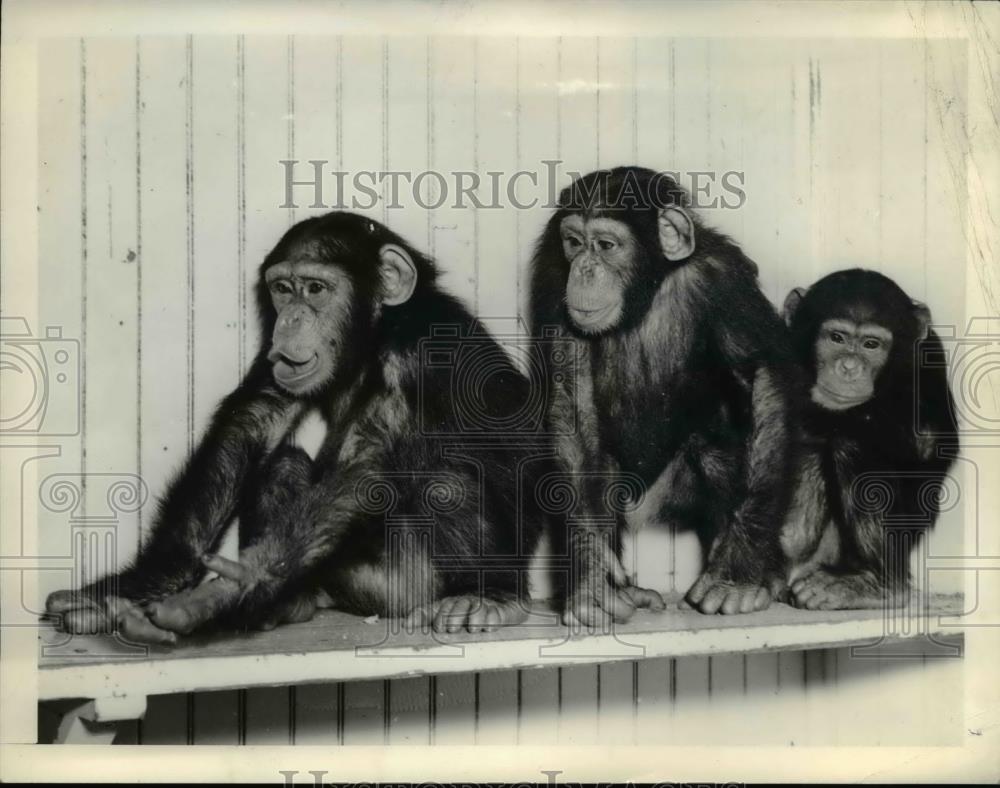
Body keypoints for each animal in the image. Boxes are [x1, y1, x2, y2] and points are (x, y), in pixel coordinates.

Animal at [47, 212, 548, 644]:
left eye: (316, 288)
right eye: (284, 289)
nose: (291, 318)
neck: (375, 336)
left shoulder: (418, 354)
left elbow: (363, 474)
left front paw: (221, 595)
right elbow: (253, 418)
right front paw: (134, 588)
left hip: (411, 585)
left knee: (446, 482)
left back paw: (486, 597)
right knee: (283, 463)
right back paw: (287, 603)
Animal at [532, 166, 796, 620]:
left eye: (606, 246)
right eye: (574, 243)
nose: (583, 269)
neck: (645, 293)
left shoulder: (724, 278)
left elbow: (762, 377)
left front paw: (737, 574)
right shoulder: (553, 280)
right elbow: (574, 408)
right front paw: (590, 579)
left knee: (721, 447)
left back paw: (764, 576)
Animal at [780, 270, 960, 608]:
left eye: (871, 344)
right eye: (836, 338)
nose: (849, 368)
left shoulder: (929, 354)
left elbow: (928, 439)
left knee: (852, 446)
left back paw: (873, 583)